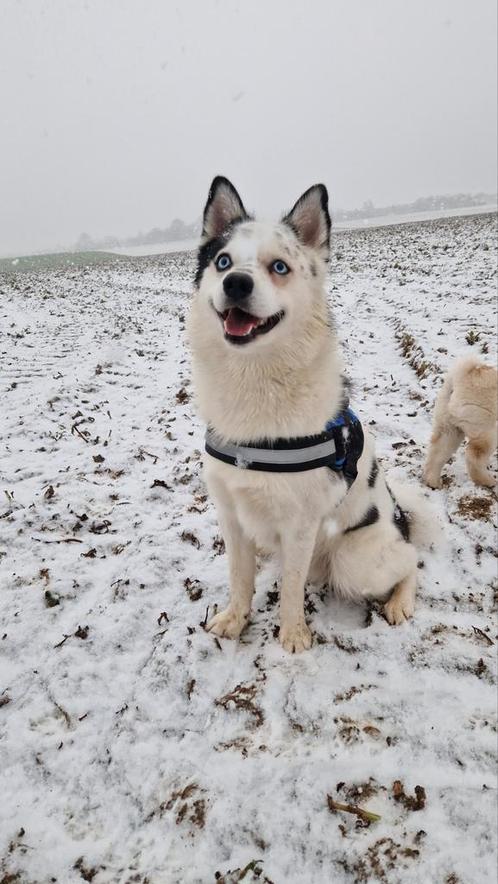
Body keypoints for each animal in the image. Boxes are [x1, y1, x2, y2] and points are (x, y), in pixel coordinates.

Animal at [189, 176, 434, 652]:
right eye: (223, 262)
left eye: (279, 267)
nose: (236, 284)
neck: (255, 380)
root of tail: (400, 519)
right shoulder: (231, 513)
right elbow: (239, 577)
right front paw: (234, 619)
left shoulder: (300, 524)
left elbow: (290, 588)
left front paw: (293, 636)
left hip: (355, 561)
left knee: (410, 561)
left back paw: (400, 602)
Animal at [424, 356, 498, 490]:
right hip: (484, 425)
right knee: (475, 455)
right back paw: (487, 481)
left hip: (448, 425)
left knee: (439, 450)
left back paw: (433, 481)